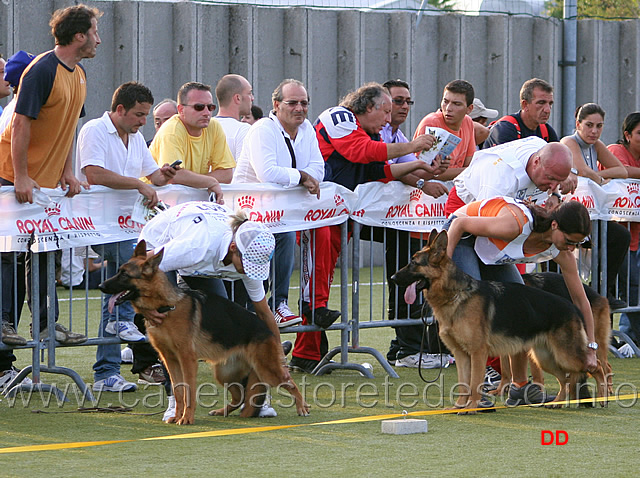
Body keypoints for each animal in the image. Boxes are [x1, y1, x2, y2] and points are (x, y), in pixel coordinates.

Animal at [99, 241, 312, 424]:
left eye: (124, 275)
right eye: (118, 272)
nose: (101, 286)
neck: (166, 306)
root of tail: (267, 328)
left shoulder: (187, 360)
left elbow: (189, 392)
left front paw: (186, 418)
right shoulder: (170, 360)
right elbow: (178, 391)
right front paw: (177, 416)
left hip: (267, 370)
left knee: (289, 382)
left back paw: (302, 407)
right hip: (224, 374)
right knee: (240, 397)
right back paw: (222, 411)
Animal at [390, 230, 604, 412]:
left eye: (414, 263)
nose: (392, 277)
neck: (456, 295)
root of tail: (574, 307)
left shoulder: (478, 353)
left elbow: (475, 382)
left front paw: (471, 407)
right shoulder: (461, 354)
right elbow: (464, 383)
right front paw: (460, 406)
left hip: (565, 355)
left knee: (596, 366)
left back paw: (603, 397)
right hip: (546, 358)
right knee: (566, 379)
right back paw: (558, 402)